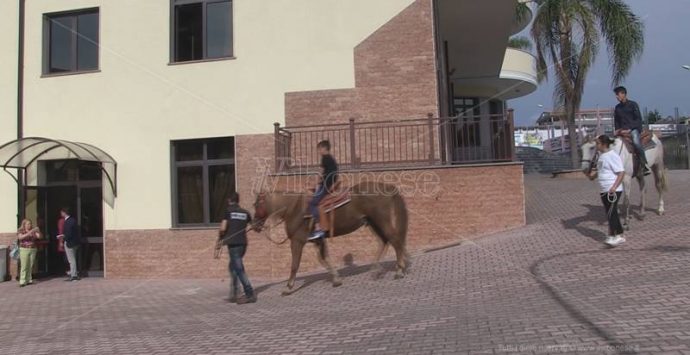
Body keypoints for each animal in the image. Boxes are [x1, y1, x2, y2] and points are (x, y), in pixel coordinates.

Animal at [254, 181, 408, 294]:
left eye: (256, 205)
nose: (255, 225)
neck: (294, 209)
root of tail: (387, 187)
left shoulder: (297, 242)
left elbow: (295, 265)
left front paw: (288, 287)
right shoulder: (318, 240)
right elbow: (324, 259)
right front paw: (336, 279)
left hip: (381, 221)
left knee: (395, 240)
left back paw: (399, 271)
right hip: (373, 223)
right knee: (384, 241)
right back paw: (377, 269)